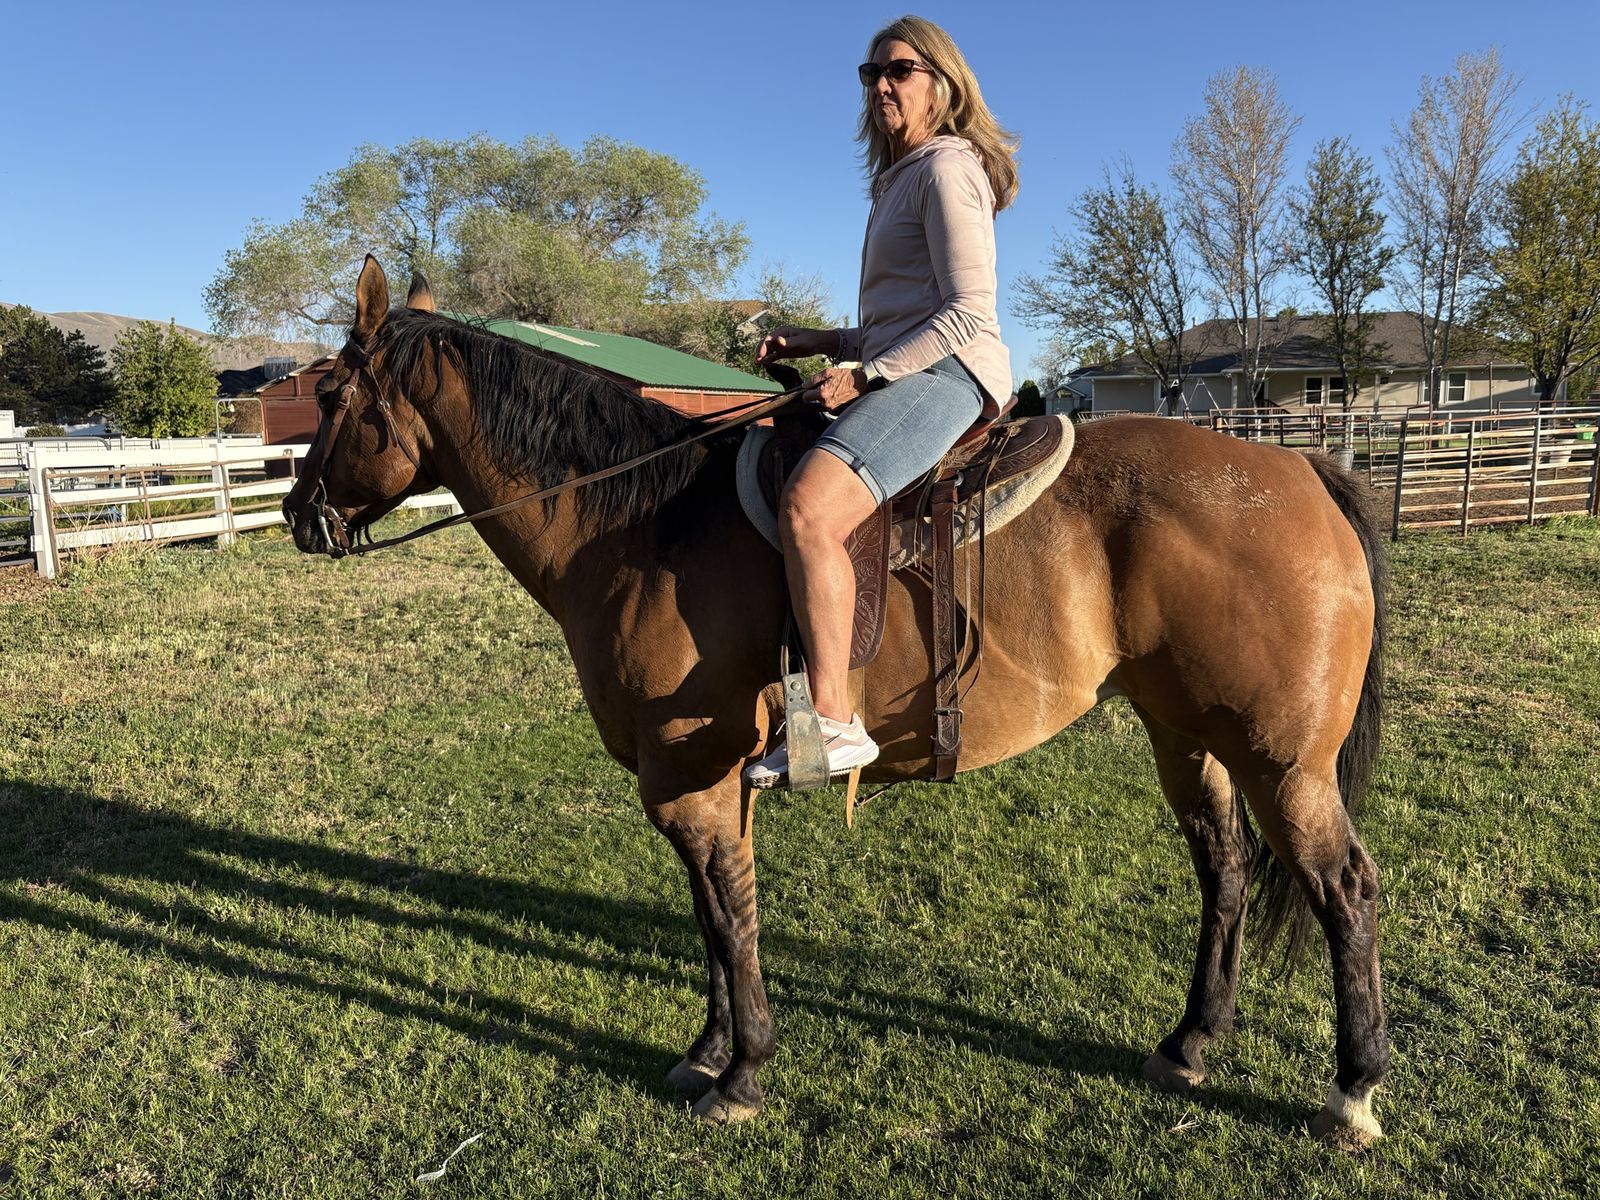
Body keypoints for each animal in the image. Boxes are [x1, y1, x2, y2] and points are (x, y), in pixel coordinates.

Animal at [282, 256, 1391, 1149]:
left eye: (331, 393)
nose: (298, 515)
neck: (644, 527)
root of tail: (1297, 467)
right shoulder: (701, 786)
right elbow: (713, 917)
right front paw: (708, 1050)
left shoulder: (689, 780)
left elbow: (730, 919)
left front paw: (741, 1074)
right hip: (1187, 736)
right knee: (1225, 870)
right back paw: (1191, 1042)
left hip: (1283, 762)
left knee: (1345, 890)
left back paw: (1352, 1092)